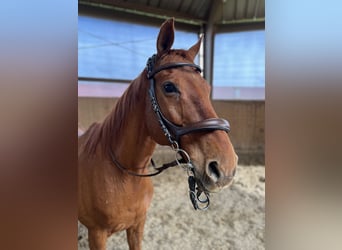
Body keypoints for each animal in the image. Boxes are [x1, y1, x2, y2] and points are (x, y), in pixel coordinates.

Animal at [78, 18, 236, 249]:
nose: (225, 168)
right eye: (169, 87)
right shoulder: (96, 235)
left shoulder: (137, 227)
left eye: (206, 88)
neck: (125, 175)